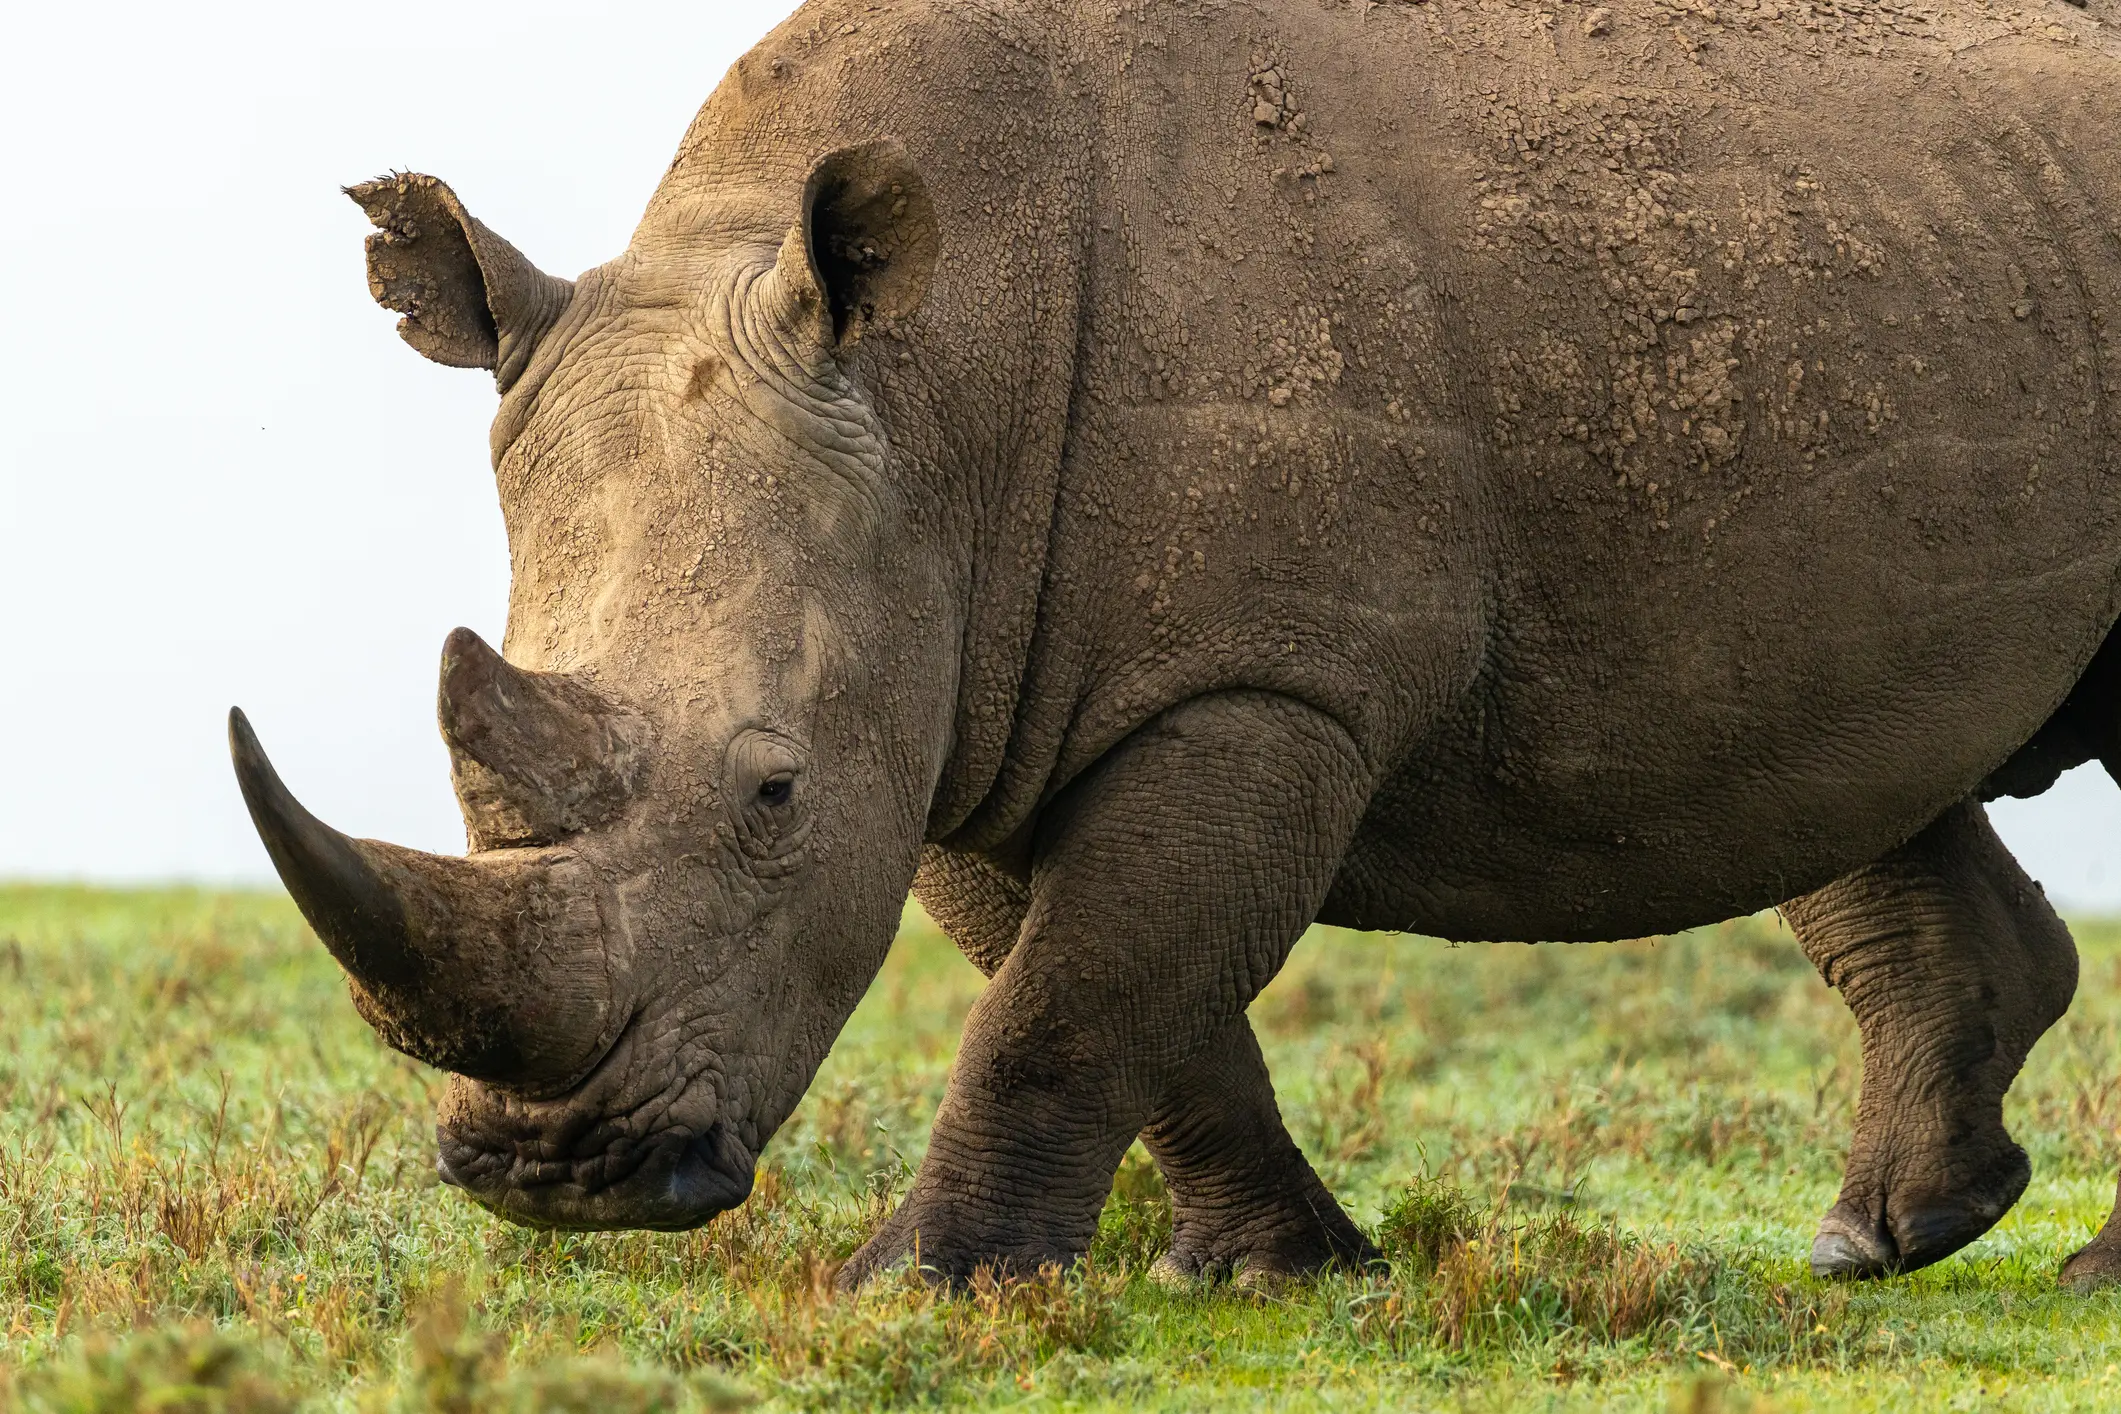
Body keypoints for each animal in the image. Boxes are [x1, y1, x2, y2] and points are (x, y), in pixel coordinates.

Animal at [230, 0, 2121, 1289]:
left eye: (770, 794)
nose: (551, 1179)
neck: (933, 389)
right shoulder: (971, 687)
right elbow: (1110, 986)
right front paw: (1284, 1270)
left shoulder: (1258, 681)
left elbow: (1078, 992)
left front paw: (910, 1288)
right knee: (1840, 751)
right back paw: (1889, 1235)